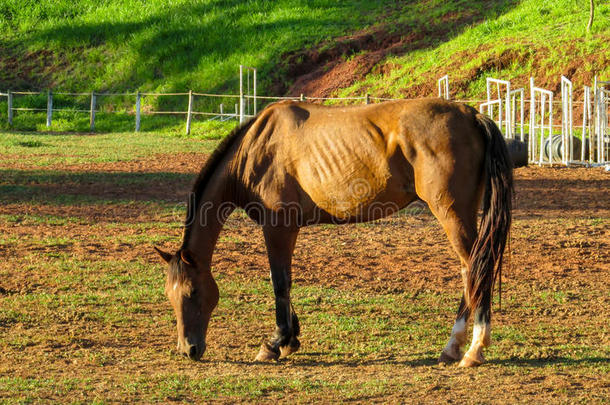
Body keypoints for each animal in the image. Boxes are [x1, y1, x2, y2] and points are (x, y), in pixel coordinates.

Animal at [154, 97, 510, 366]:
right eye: (170, 295)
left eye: (192, 292)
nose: (188, 349)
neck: (257, 148)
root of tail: (472, 114)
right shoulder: (285, 229)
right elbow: (283, 280)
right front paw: (291, 337)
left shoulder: (278, 227)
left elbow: (279, 282)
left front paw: (276, 342)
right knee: (470, 270)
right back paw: (453, 347)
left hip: (451, 213)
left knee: (476, 267)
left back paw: (474, 349)